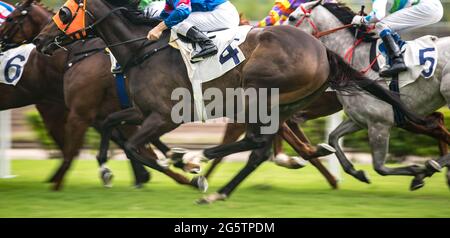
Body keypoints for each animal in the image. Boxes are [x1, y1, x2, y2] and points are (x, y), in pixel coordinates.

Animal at [0, 0, 207, 191]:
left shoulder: (84, 111)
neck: (80, 53)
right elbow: (128, 137)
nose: (39, 40)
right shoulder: (112, 111)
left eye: (10, 18)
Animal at [34, 0, 426, 203]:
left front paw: (184, 172)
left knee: (255, 142)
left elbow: (133, 145)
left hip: (256, 92)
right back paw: (217, 188)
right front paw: (105, 168)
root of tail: (322, 50)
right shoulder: (143, 110)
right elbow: (110, 124)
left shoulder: (164, 116)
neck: (143, 49)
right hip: (282, 105)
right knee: (258, 148)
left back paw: (198, 163)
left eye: (65, 11)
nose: (40, 41)